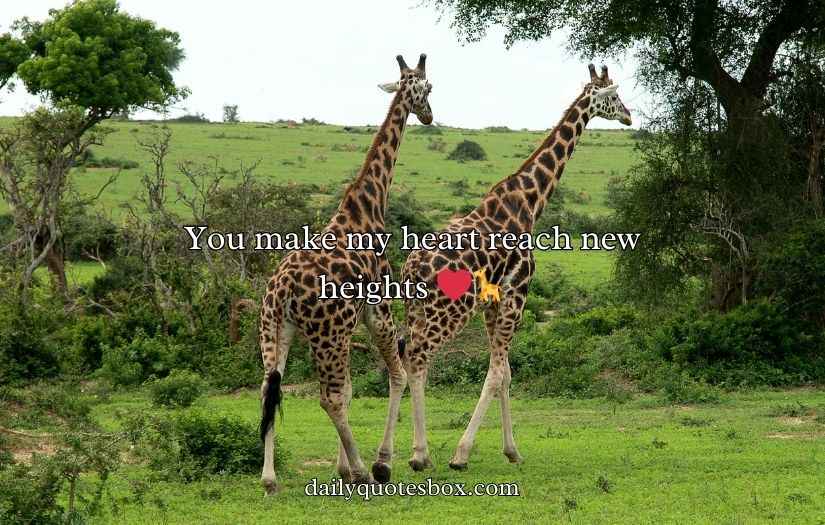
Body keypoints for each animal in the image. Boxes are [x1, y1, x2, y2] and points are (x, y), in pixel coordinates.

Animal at [258, 54, 433, 494]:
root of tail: (282, 290)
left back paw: (269, 478)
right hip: (327, 334)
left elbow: (355, 389)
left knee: (269, 387)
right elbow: (396, 376)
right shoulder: (379, 310)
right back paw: (362, 471)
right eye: (429, 88)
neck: (367, 206)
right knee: (329, 397)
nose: (428, 115)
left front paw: (343, 466)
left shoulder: (353, 324)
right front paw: (381, 463)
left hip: (275, 330)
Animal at [388, 64, 631, 475]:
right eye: (613, 96)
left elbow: (505, 374)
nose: (629, 116)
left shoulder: (492, 303)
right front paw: (463, 454)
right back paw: (420, 454)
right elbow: (498, 373)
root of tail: (412, 269)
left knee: (407, 354)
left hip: (415, 310)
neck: (530, 203)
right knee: (419, 356)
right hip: (448, 312)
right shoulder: (517, 294)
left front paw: (511, 450)